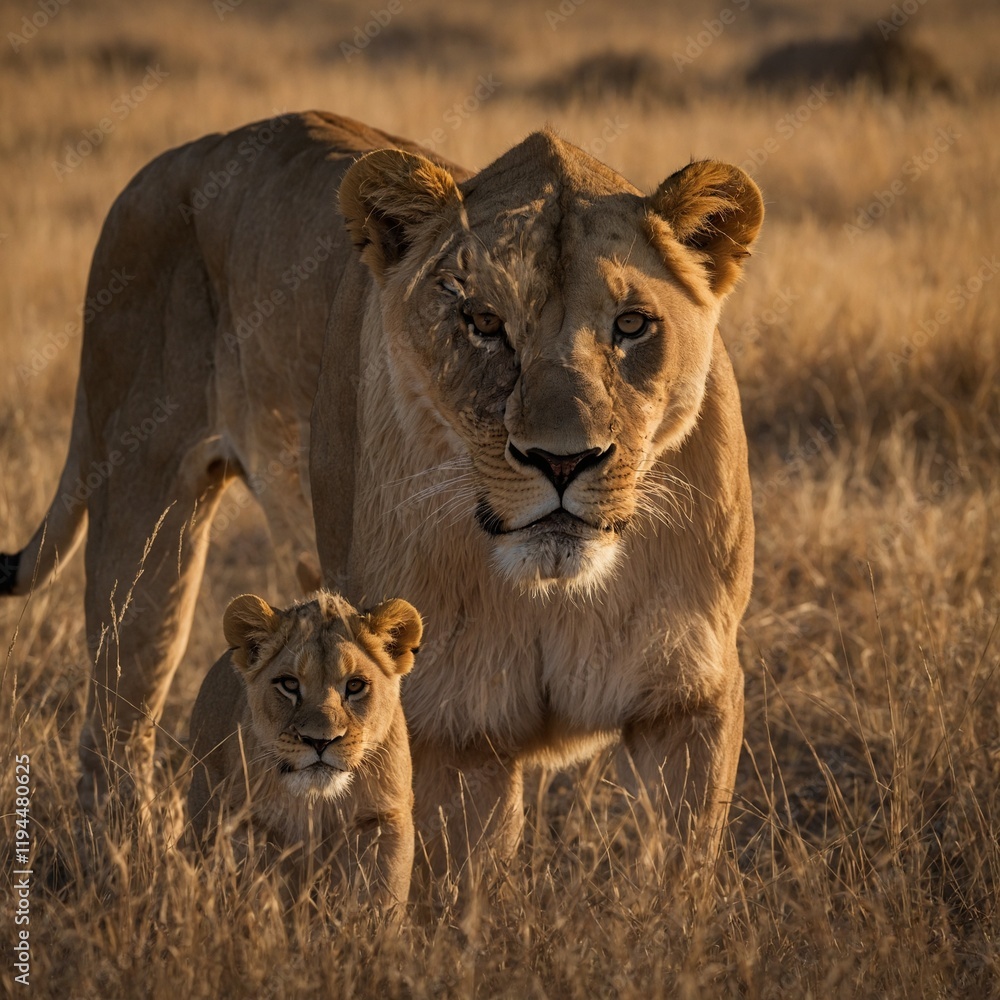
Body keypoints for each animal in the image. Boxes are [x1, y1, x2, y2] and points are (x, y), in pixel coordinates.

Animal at [188, 590, 422, 907]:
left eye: (355, 685)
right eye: (289, 684)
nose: (319, 741)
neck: (317, 802)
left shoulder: (382, 819)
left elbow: (379, 895)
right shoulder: (251, 824)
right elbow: (256, 894)